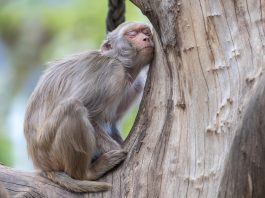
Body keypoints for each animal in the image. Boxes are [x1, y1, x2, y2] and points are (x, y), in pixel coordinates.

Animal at [24, 21, 155, 192]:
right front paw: (117, 149)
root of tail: (41, 165)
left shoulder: (136, 84)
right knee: (73, 107)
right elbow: (92, 116)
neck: (122, 64)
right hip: (48, 149)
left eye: (146, 32)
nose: (146, 38)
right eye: (132, 34)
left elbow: (111, 123)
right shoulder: (111, 73)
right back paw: (86, 173)